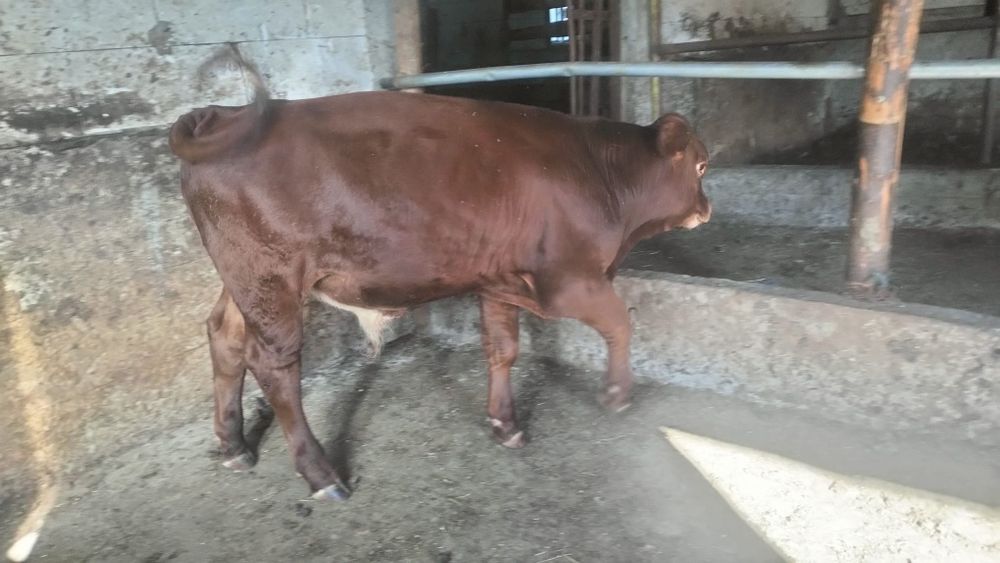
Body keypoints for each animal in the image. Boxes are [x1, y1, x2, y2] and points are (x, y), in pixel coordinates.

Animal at [169, 46, 710, 501]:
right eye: (702, 166)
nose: (706, 208)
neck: (600, 172)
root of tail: (225, 114)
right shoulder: (569, 280)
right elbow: (620, 323)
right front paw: (616, 395)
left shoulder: (501, 280)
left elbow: (503, 348)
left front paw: (504, 423)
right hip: (272, 279)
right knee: (274, 365)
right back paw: (320, 474)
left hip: (242, 280)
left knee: (224, 336)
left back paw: (234, 445)